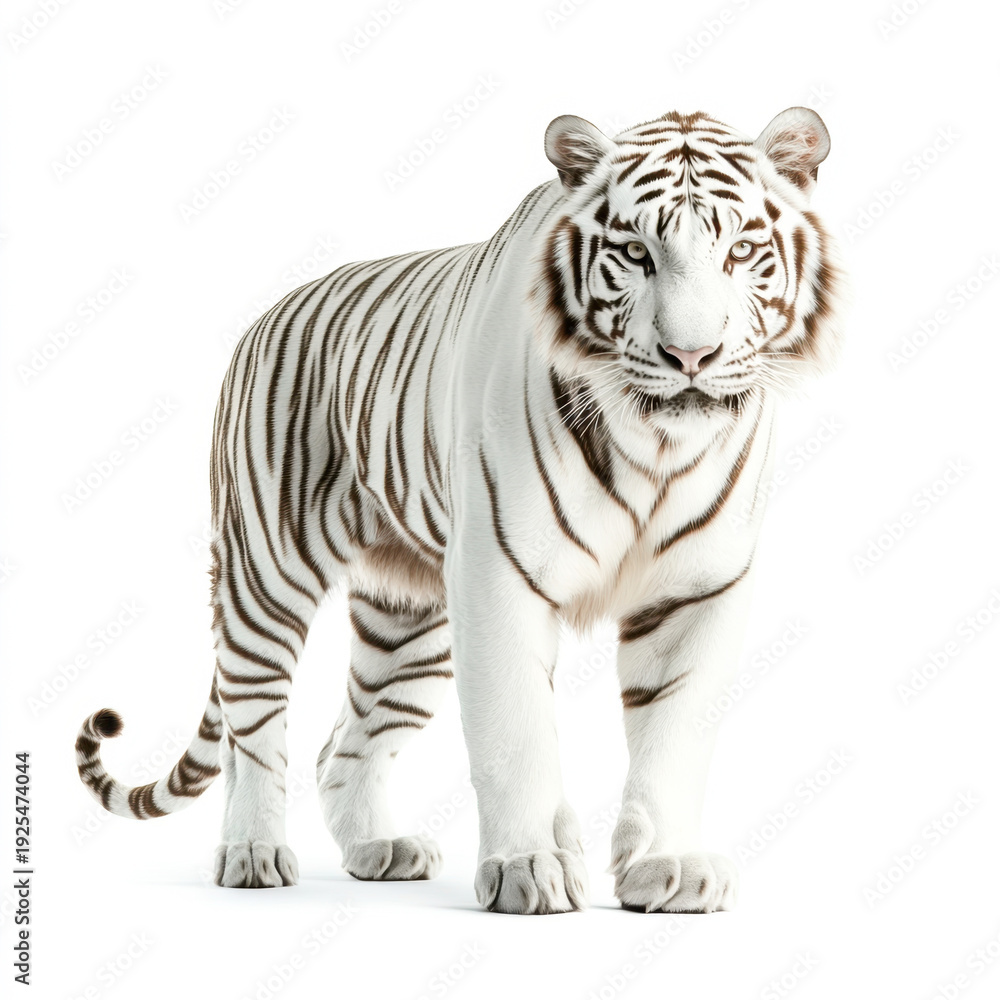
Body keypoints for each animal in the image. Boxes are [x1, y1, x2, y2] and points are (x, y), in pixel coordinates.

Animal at [75, 106, 844, 914]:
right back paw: (252, 853)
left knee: (340, 746)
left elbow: (676, 735)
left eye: (741, 250)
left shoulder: (697, 591)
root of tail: (269, 313)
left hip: (411, 621)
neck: (655, 446)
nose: (691, 357)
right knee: (253, 726)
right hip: (267, 570)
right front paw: (529, 867)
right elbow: (515, 733)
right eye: (636, 252)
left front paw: (668, 865)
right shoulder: (500, 578)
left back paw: (380, 849)